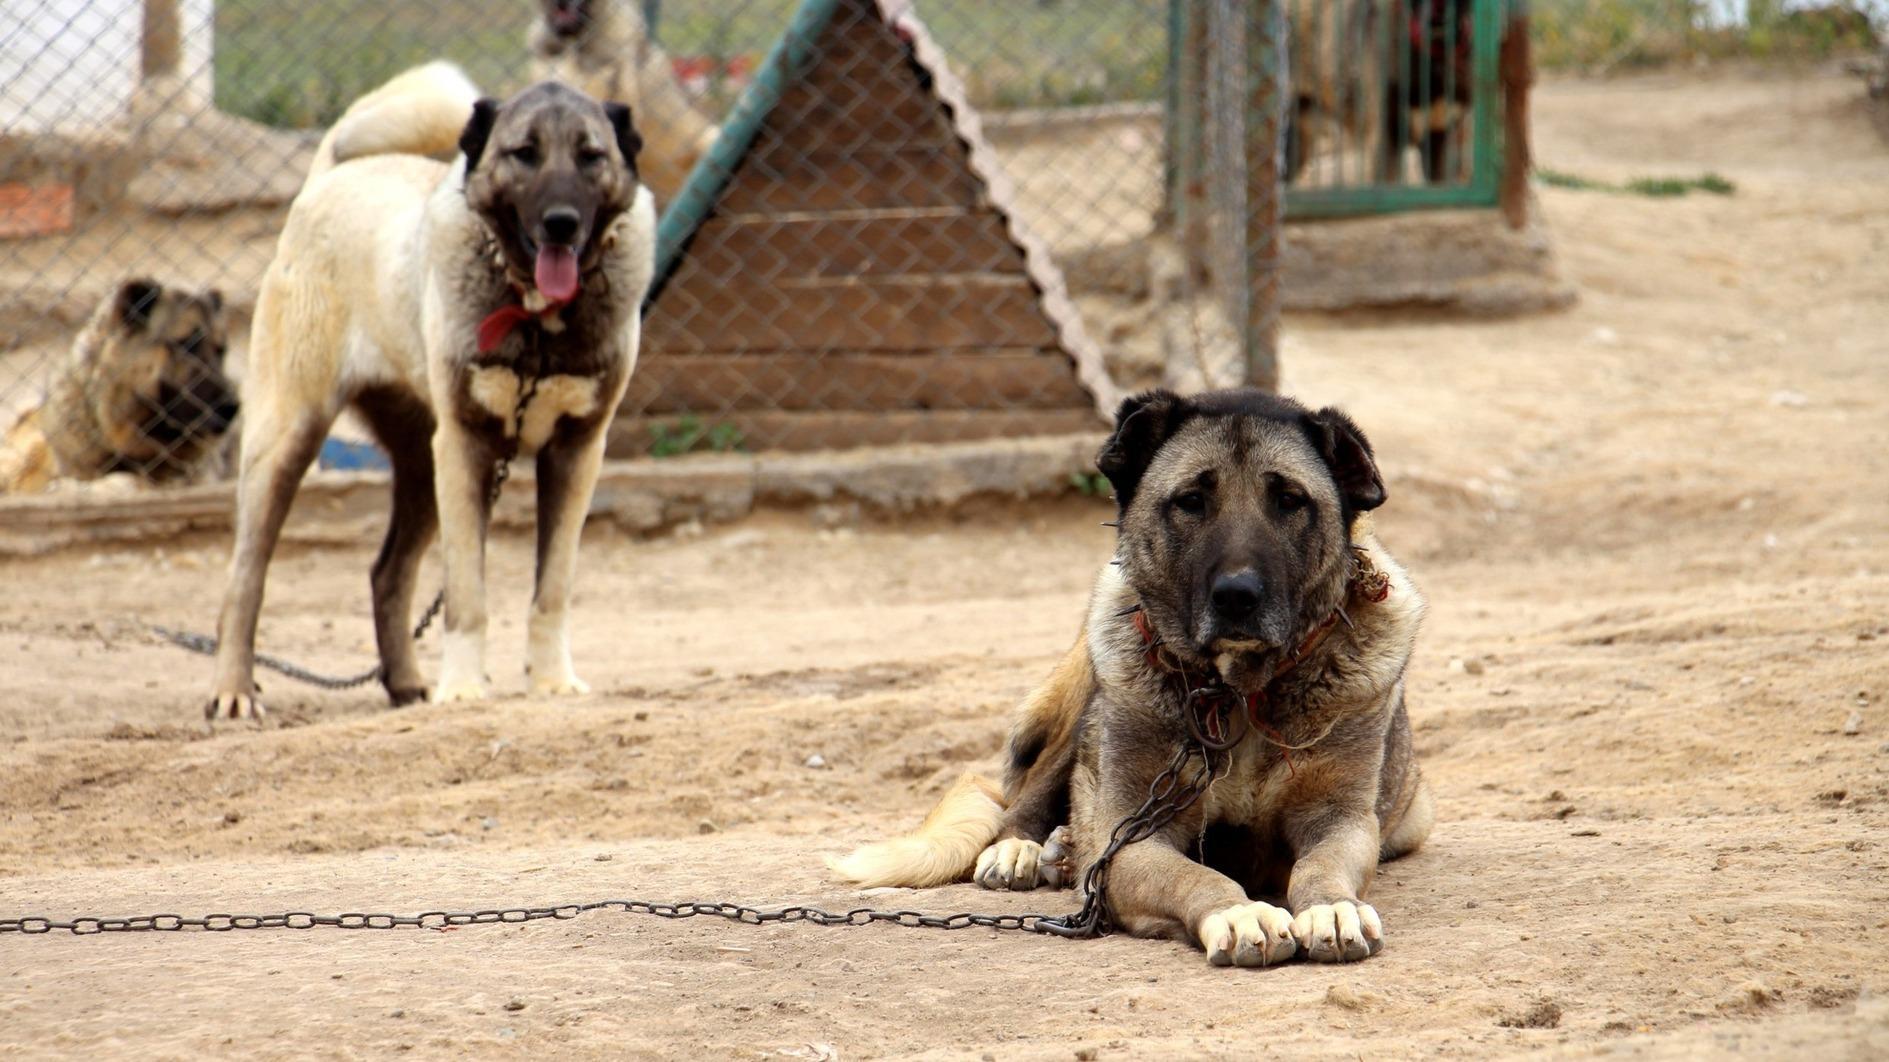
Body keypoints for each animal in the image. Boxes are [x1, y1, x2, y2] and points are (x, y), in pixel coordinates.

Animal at [206, 59, 657, 718]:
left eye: (591, 155)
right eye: (524, 153)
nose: (561, 223)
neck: (535, 319)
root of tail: (331, 177)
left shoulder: (575, 453)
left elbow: (551, 589)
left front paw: (551, 681)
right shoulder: (468, 449)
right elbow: (468, 596)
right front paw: (465, 687)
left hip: (422, 468)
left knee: (387, 574)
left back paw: (405, 683)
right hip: (288, 444)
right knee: (245, 579)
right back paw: (233, 690)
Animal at [834, 391, 1435, 967]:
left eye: (1290, 500)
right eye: (1191, 501)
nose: (1237, 597)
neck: (1236, 693)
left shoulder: (1342, 820)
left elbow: (1321, 867)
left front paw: (1332, 909)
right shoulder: (1130, 838)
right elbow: (1195, 874)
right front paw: (1241, 913)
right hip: (1087, 703)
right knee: (1028, 796)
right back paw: (1024, 849)